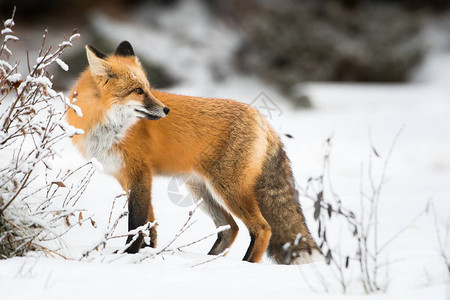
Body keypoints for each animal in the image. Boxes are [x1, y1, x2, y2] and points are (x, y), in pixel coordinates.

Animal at [67, 41, 320, 264]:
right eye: (138, 90)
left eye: (147, 88)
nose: (166, 110)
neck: (108, 126)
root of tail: (263, 120)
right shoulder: (126, 177)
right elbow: (150, 223)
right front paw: (147, 253)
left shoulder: (140, 173)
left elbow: (137, 223)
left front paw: (128, 256)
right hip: (202, 190)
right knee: (230, 229)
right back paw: (208, 261)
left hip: (228, 188)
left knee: (263, 228)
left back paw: (245, 265)